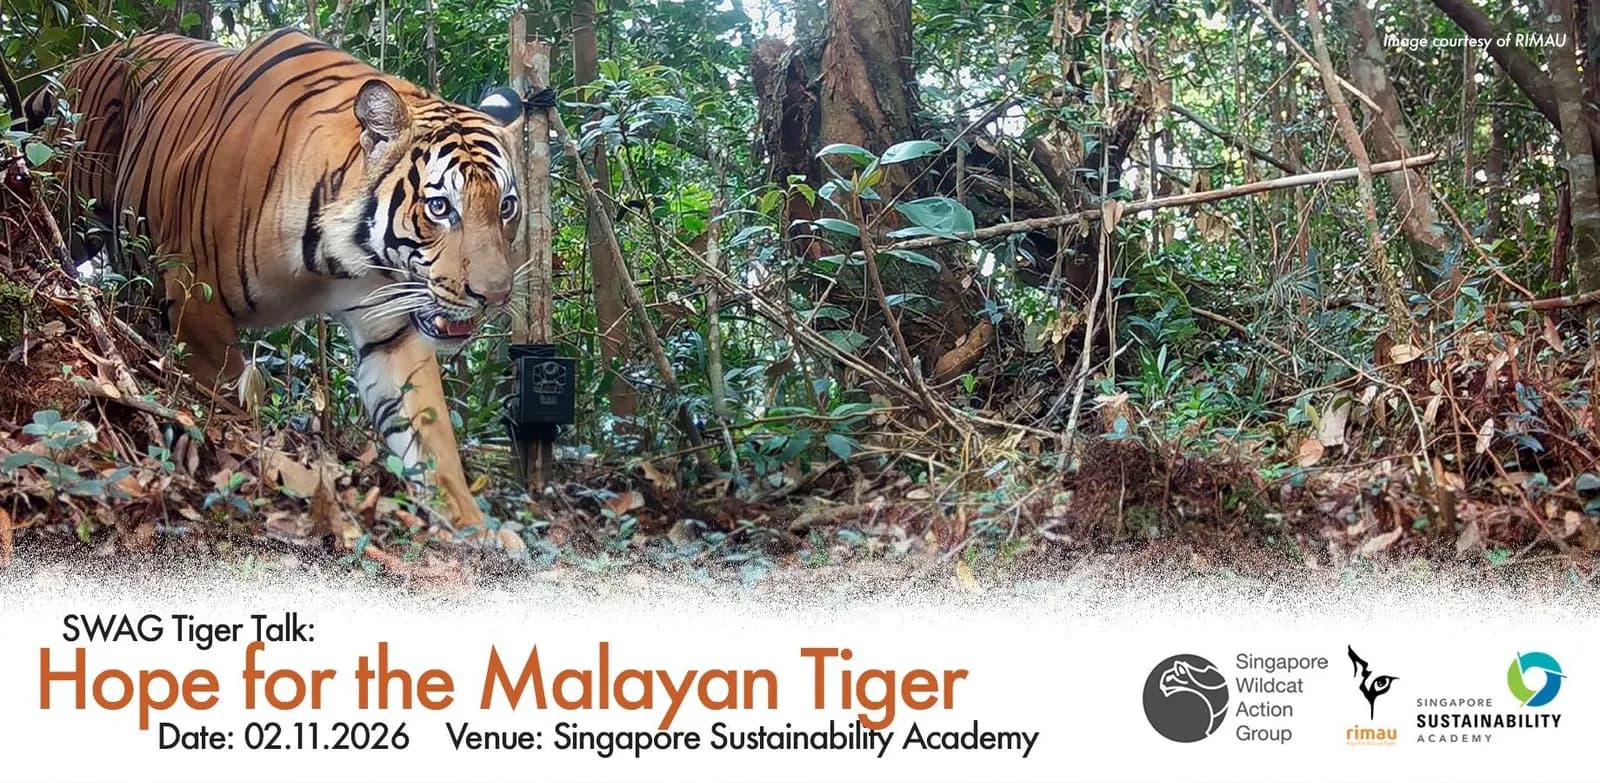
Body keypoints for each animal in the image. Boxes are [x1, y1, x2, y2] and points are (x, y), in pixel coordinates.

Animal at [24, 28, 530, 539]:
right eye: (440, 207)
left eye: (506, 207)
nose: (493, 297)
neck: (337, 260)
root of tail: (88, 60)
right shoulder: (196, 299)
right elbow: (233, 405)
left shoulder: (390, 330)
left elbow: (430, 434)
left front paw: (473, 526)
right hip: (69, 200)